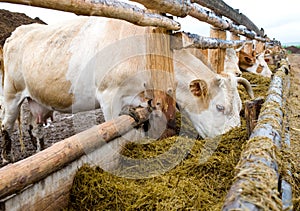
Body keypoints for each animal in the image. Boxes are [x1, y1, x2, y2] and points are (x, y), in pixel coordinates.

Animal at [0, 16, 253, 165]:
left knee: (35, 129)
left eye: (240, 107)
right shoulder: (108, 95)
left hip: (36, 101)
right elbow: (112, 132)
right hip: (12, 94)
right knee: (6, 126)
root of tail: (16, 33)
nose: (234, 136)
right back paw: (8, 158)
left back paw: (38, 152)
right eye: (220, 107)